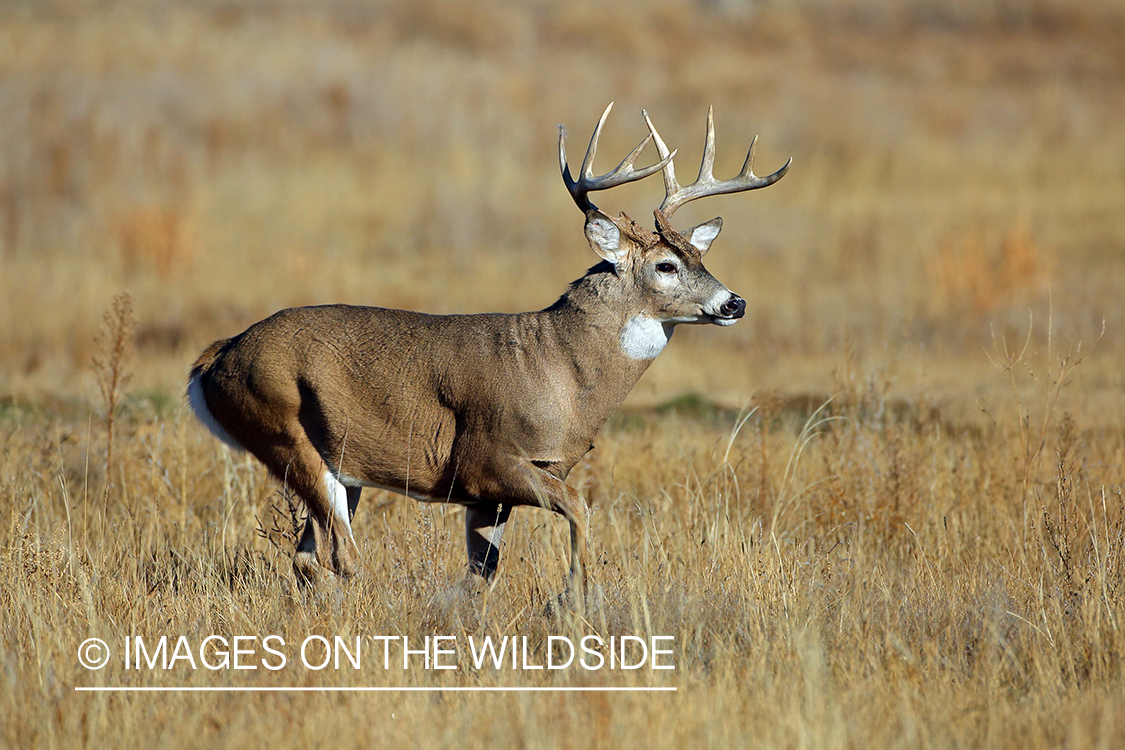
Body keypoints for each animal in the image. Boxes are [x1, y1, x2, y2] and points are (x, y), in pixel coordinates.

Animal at [186, 102, 792, 602]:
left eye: (699, 256)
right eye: (665, 265)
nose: (733, 302)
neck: (562, 373)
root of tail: (216, 359)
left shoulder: (490, 494)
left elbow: (482, 575)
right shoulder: (488, 458)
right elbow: (581, 507)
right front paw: (571, 598)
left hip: (339, 466)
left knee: (310, 557)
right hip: (285, 432)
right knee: (340, 556)